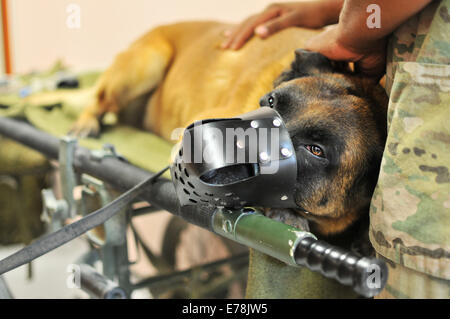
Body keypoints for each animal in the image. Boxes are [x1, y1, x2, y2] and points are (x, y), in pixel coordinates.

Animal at [72, 21, 388, 256]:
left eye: (315, 150)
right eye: (271, 101)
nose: (198, 150)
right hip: (145, 64)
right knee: (99, 99)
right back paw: (85, 123)